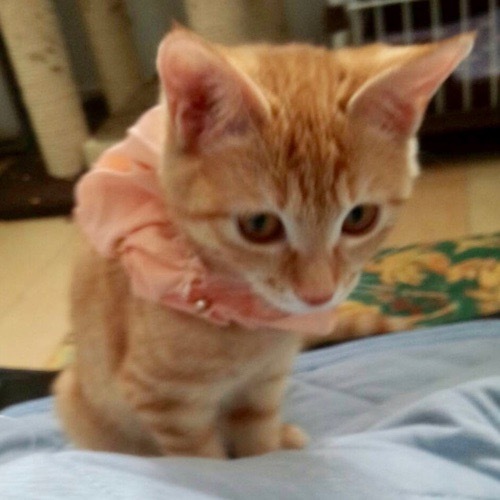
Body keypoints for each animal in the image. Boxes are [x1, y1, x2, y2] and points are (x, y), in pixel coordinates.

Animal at [53, 27, 474, 458]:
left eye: (359, 218)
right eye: (259, 224)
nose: (318, 295)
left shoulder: (263, 388)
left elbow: (259, 448)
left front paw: (271, 453)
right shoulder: (168, 405)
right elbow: (207, 460)